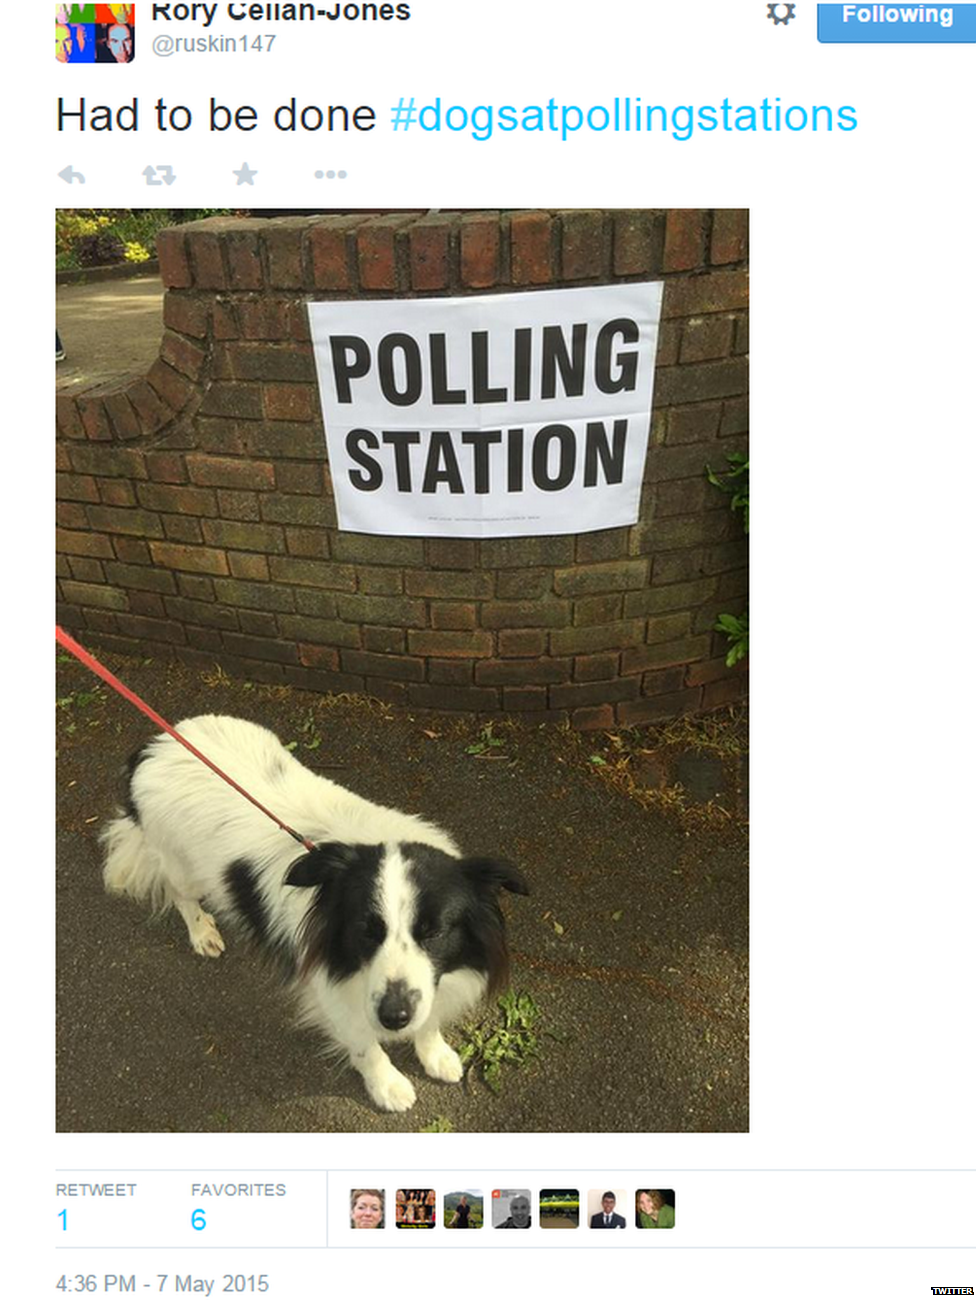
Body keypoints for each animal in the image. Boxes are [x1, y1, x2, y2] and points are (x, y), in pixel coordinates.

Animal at [101, 717, 527, 1112]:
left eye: (434, 932)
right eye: (365, 931)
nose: (394, 1018)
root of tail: (154, 746)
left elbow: (429, 1019)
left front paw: (435, 1054)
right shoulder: (332, 987)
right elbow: (364, 1044)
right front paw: (387, 1085)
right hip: (183, 868)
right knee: (179, 894)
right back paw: (201, 932)